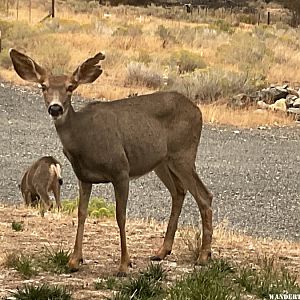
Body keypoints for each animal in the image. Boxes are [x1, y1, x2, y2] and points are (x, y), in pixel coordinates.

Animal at [9, 49, 213, 276]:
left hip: (183, 154)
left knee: (204, 196)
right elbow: (81, 213)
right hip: (161, 162)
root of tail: (198, 111)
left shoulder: (121, 170)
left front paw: (124, 264)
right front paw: (74, 260)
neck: (83, 137)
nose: (55, 108)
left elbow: (120, 215)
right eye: (43, 86)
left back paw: (203, 256)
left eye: (70, 87)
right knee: (179, 192)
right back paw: (161, 252)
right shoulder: (83, 176)